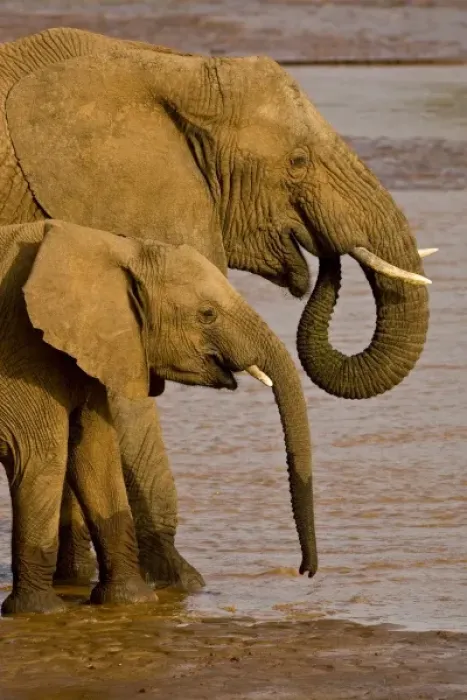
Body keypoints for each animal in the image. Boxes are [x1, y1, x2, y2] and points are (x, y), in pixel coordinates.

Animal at [0, 218, 314, 615]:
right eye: (207, 314)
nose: (304, 572)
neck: (114, 248)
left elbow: (96, 458)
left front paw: (130, 601)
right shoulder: (23, 353)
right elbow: (40, 459)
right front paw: (40, 611)